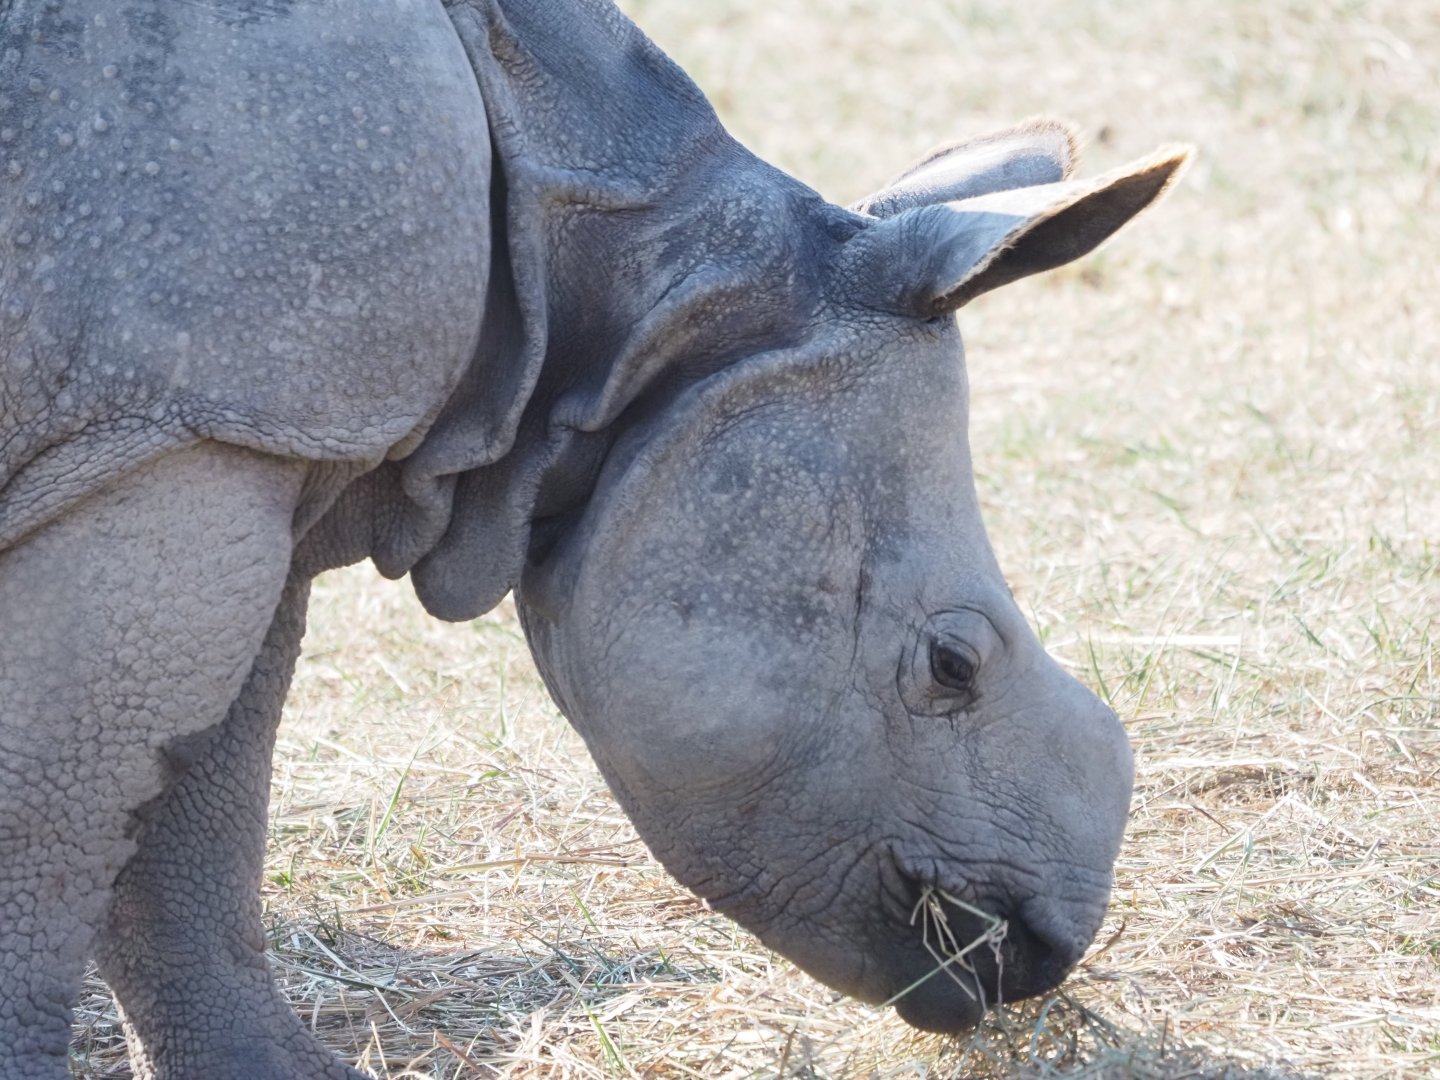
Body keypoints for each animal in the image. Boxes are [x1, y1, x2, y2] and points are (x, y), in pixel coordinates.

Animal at [0, 0, 1187, 1075]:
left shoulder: (246, 433)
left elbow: (196, 813)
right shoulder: (179, 435)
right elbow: (53, 828)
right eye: (951, 664)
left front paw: (281, 1073)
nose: (1043, 953)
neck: (637, 291)